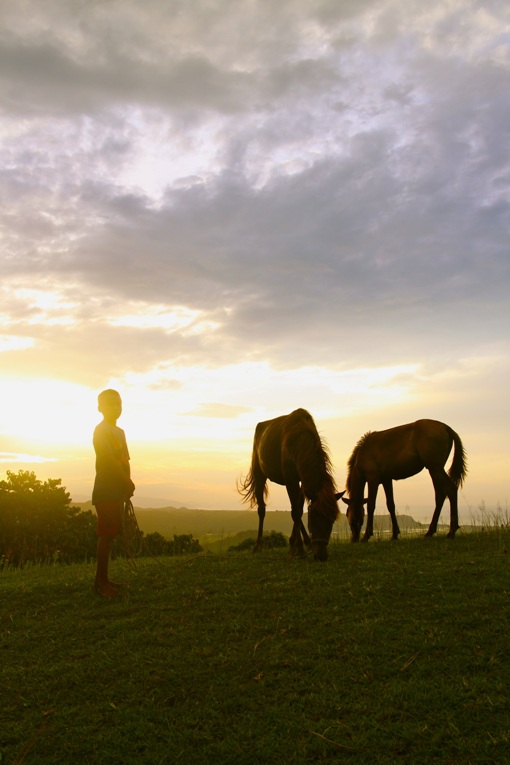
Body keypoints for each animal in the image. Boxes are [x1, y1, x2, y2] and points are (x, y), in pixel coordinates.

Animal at [238, 406, 342, 560]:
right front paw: (297, 549)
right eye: (314, 519)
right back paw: (258, 546)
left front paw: (296, 545)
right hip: (259, 475)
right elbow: (296, 512)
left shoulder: (302, 481)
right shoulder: (290, 479)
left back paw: (307, 542)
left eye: (332, 519)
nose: (321, 556)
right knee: (262, 509)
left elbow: (298, 510)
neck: (299, 441)